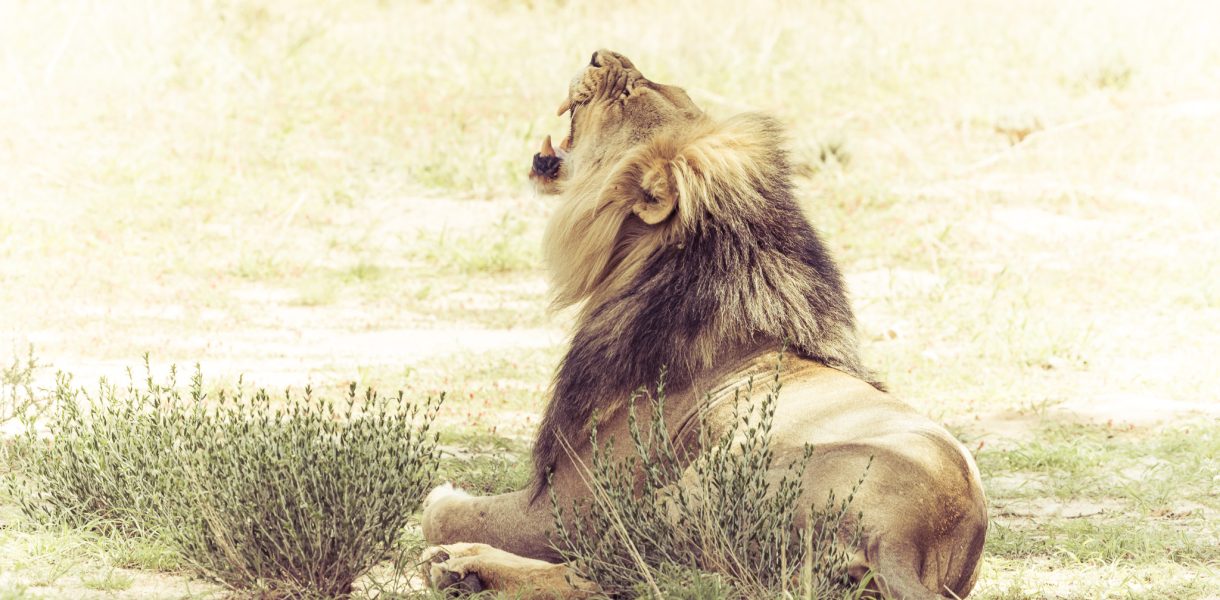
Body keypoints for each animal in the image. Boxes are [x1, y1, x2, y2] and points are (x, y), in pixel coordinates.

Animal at [420, 50, 987, 599]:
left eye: (629, 92)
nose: (599, 55)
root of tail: (907, 537)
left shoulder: (568, 505)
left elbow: (443, 512)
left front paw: (448, 504)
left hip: (693, 489)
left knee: (616, 573)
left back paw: (461, 565)